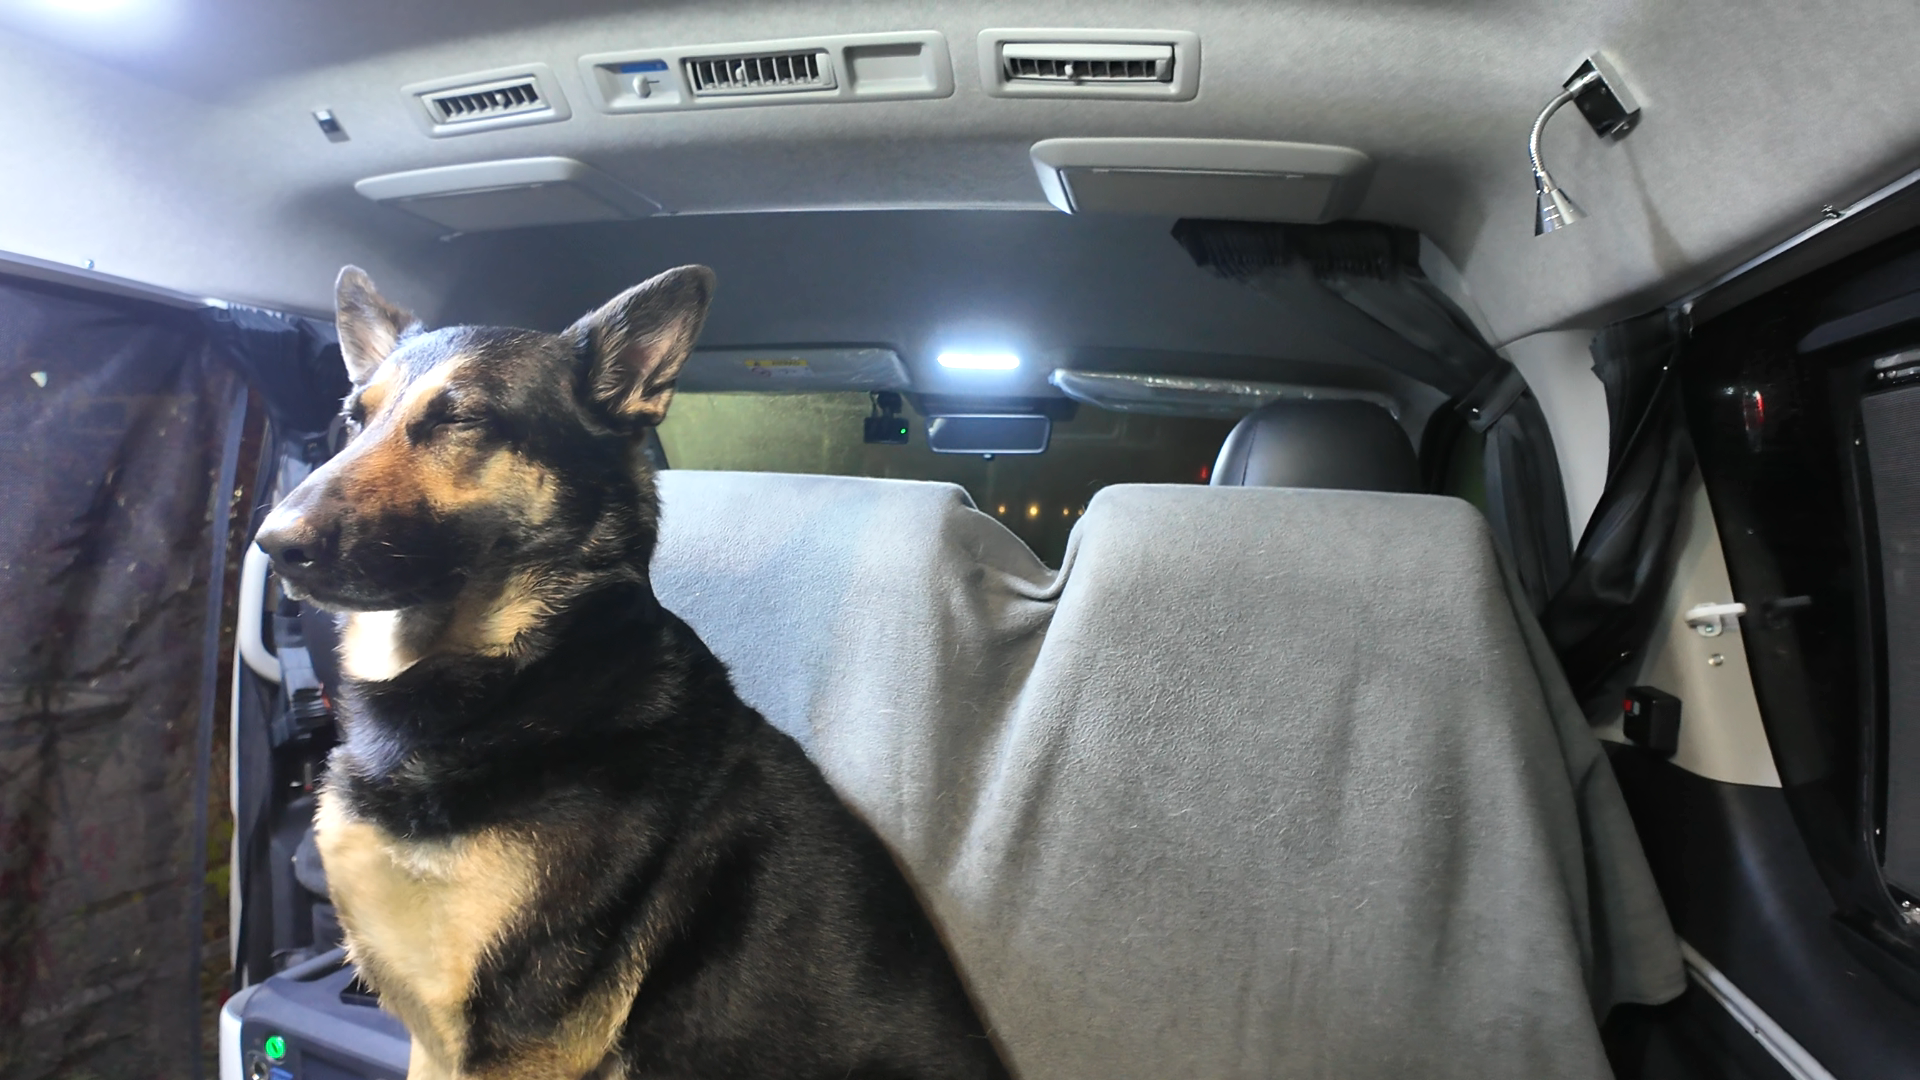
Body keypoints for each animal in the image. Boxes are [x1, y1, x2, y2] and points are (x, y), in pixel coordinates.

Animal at [253, 266, 1010, 1080]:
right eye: (353, 420)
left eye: (465, 420)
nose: (274, 542)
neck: (523, 670)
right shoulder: (434, 1036)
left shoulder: (516, 1040)